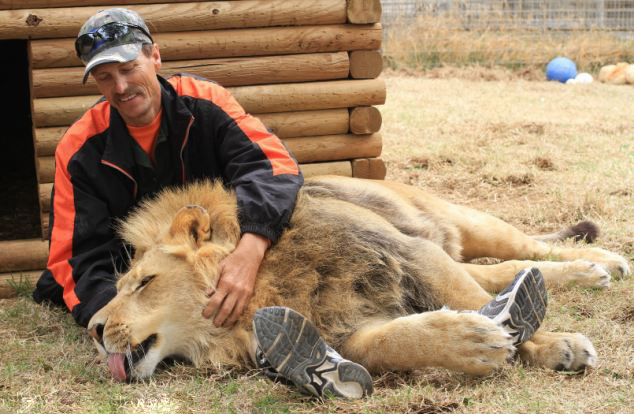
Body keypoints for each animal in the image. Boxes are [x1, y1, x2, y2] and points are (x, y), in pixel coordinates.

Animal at [87, 176, 628, 392]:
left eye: (143, 283)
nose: (93, 328)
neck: (264, 283)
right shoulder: (344, 331)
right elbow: (397, 341)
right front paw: (471, 342)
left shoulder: (410, 253)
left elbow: (478, 303)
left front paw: (551, 344)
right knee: (501, 269)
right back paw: (586, 272)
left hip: (467, 223)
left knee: (529, 248)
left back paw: (601, 263)